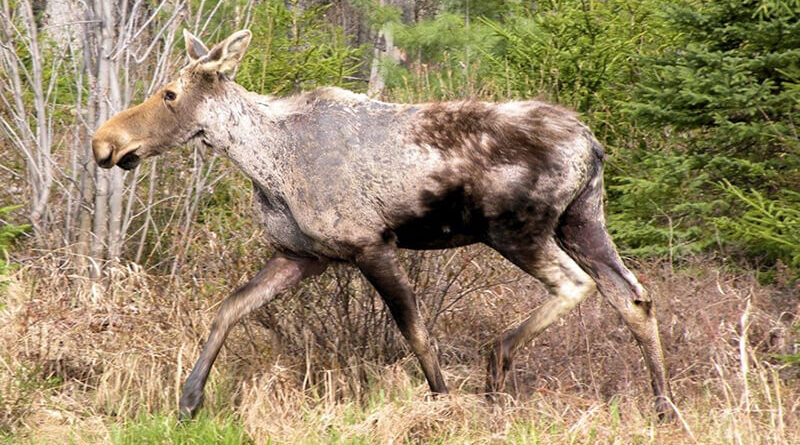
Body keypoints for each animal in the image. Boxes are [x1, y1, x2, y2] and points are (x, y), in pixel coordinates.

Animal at [91, 29, 673, 420]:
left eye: (169, 94)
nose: (105, 143)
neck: (266, 161)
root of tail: (593, 144)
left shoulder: (369, 244)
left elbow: (416, 333)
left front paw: (443, 402)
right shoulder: (304, 254)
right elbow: (229, 308)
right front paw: (189, 399)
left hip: (517, 229)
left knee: (575, 285)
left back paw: (495, 366)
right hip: (582, 220)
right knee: (634, 297)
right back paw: (663, 405)